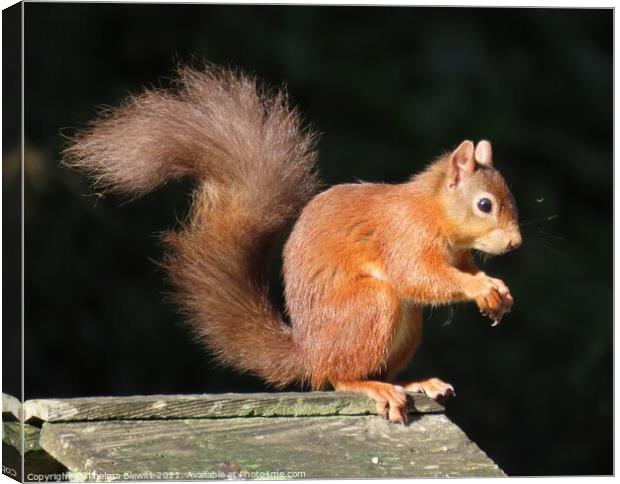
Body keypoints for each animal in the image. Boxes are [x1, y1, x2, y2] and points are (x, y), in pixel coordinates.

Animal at [64, 65, 520, 424]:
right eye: (484, 204)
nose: (515, 243)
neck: (435, 212)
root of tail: (309, 352)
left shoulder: (459, 253)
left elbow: (459, 270)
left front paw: (498, 292)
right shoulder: (404, 236)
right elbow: (420, 276)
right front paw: (480, 287)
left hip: (404, 326)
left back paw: (415, 381)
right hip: (372, 307)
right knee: (338, 377)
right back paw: (372, 387)